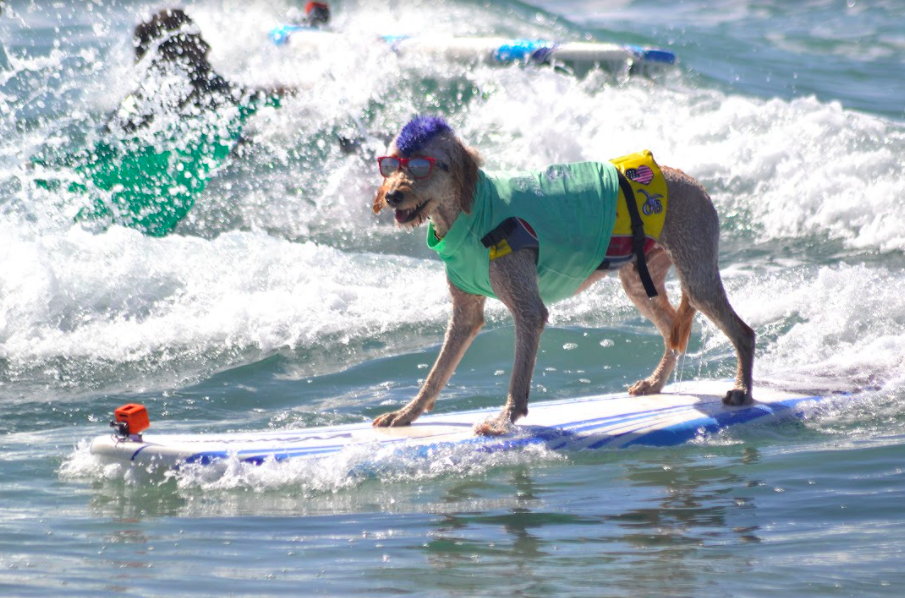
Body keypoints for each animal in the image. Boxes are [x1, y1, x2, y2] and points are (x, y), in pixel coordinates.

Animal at [370, 116, 752, 436]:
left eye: (421, 167)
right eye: (391, 165)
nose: (392, 195)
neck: (473, 212)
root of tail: (694, 181)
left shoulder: (528, 309)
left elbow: (518, 376)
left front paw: (504, 420)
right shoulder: (465, 314)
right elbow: (436, 374)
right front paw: (406, 414)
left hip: (696, 270)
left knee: (743, 332)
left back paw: (742, 389)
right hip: (638, 282)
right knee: (674, 329)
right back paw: (656, 383)